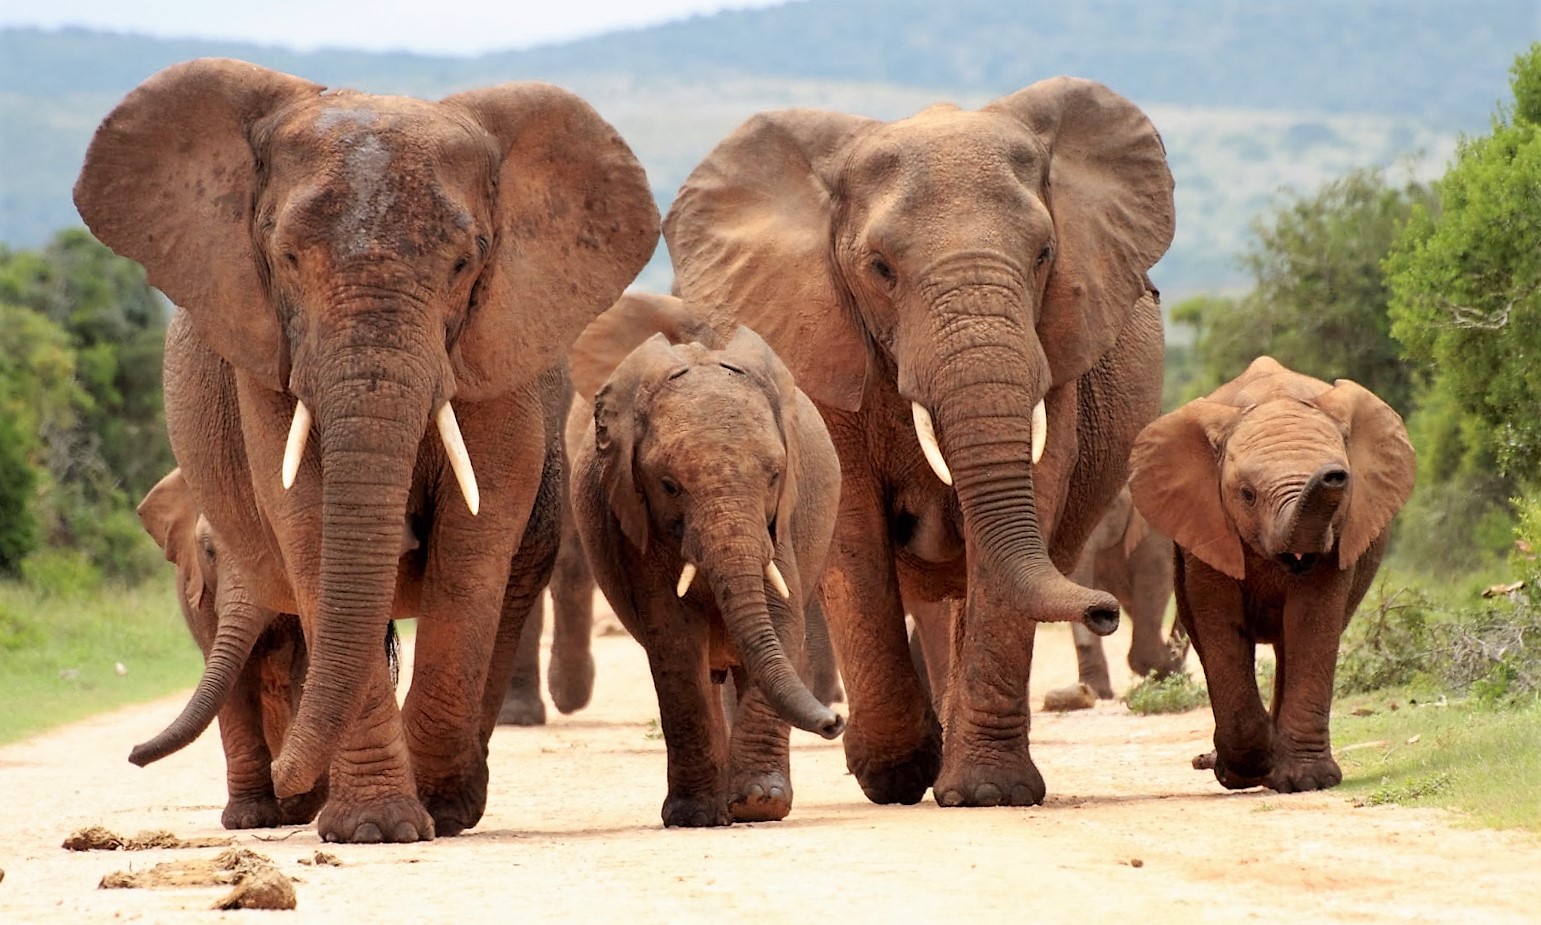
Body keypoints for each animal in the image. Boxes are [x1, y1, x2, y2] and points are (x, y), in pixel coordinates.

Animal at [74, 58, 660, 842]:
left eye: (463, 264)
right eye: (287, 258)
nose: (135, 757)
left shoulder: (495, 350)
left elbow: (473, 546)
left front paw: (432, 811)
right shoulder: (268, 352)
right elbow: (311, 529)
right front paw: (373, 828)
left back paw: (452, 801)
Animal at [571, 304, 846, 827]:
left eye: (775, 475)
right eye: (669, 485)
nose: (836, 720)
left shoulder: (781, 522)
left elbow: (780, 617)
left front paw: (760, 803)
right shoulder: (635, 520)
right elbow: (674, 638)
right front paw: (695, 815)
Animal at [664, 76, 1176, 806]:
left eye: (1044, 255)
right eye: (879, 268)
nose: (1104, 610)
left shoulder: (1057, 350)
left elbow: (1029, 498)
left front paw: (987, 792)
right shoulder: (820, 343)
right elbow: (851, 524)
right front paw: (896, 773)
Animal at [1127, 356, 1415, 793]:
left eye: (1344, 485)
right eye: (1247, 495)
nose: (1333, 474)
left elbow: (1311, 622)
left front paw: (1307, 780)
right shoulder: (1207, 524)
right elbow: (1220, 623)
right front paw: (1242, 771)